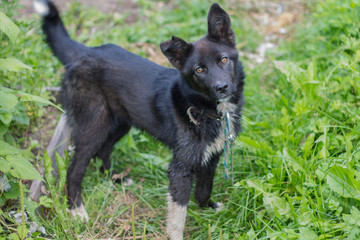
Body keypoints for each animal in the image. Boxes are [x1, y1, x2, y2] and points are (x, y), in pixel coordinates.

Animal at [34, 0, 245, 238]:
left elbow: (204, 188)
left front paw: (207, 207)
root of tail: (85, 51)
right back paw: (76, 208)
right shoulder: (180, 168)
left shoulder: (213, 156)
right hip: (93, 125)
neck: (206, 109)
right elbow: (178, 214)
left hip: (119, 123)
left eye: (224, 60)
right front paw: (176, 234)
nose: (222, 87)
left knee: (104, 149)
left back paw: (115, 177)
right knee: (75, 168)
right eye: (200, 70)